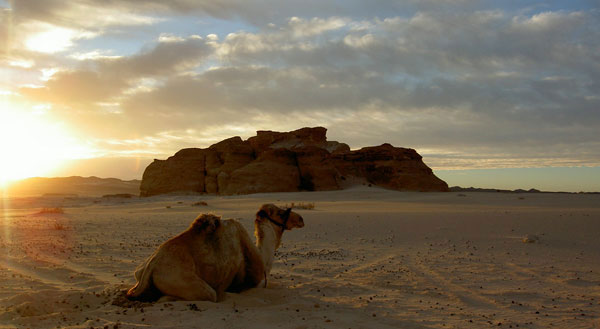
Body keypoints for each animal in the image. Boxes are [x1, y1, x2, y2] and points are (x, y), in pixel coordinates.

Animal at [126, 204, 304, 302]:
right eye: (280, 213)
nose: (301, 219)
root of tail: (152, 265)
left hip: (139, 272)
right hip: (184, 280)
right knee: (208, 295)